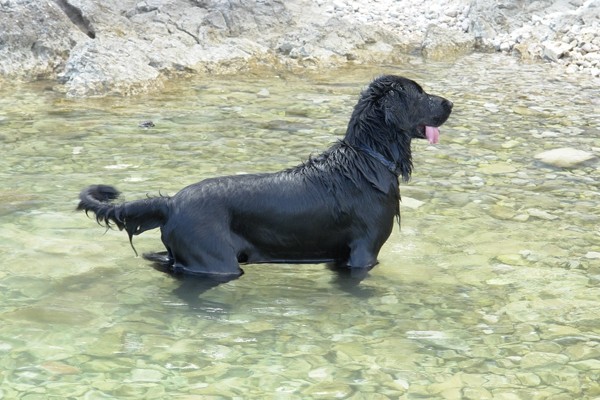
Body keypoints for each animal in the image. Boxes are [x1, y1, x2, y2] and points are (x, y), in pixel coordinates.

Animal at [81, 76, 454, 282]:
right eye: (420, 94)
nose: (450, 103)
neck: (367, 158)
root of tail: (171, 202)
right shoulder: (364, 252)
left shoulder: (342, 257)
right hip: (216, 261)